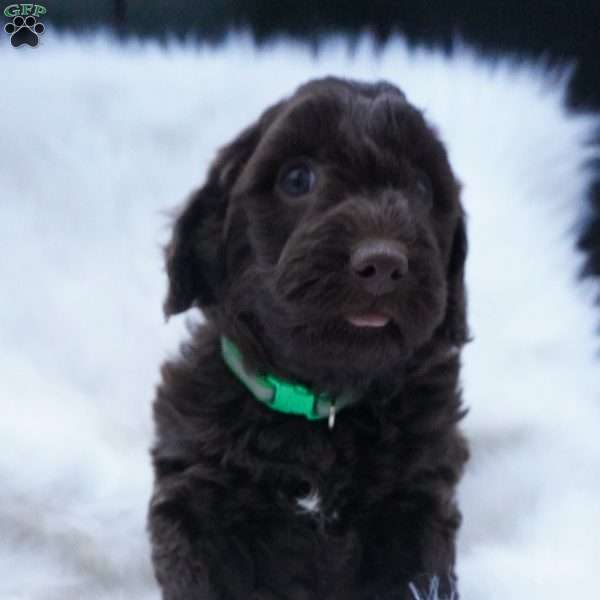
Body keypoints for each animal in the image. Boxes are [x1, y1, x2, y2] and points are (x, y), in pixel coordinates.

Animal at [149, 78, 468, 600]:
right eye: (297, 179)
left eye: (423, 188)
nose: (383, 262)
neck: (320, 408)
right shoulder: (196, 500)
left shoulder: (417, 498)